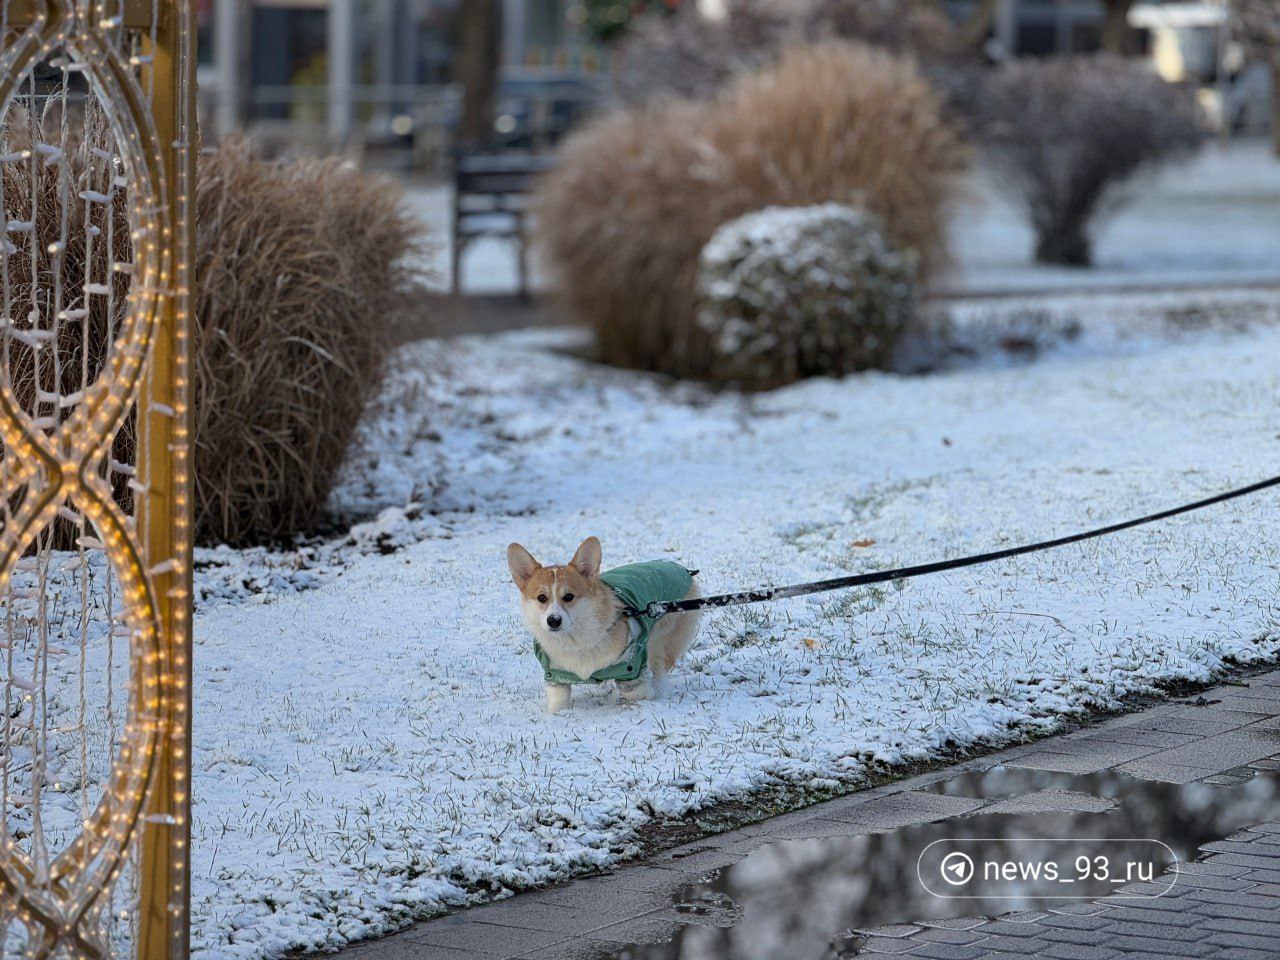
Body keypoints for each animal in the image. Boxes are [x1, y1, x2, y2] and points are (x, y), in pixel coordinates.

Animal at [504, 542, 701, 716]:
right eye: (541, 598)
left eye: (569, 597)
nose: (554, 620)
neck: (576, 641)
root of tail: (680, 568)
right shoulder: (556, 677)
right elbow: (558, 703)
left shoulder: (632, 667)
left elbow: (636, 692)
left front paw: (644, 701)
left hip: (661, 640)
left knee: (659, 667)